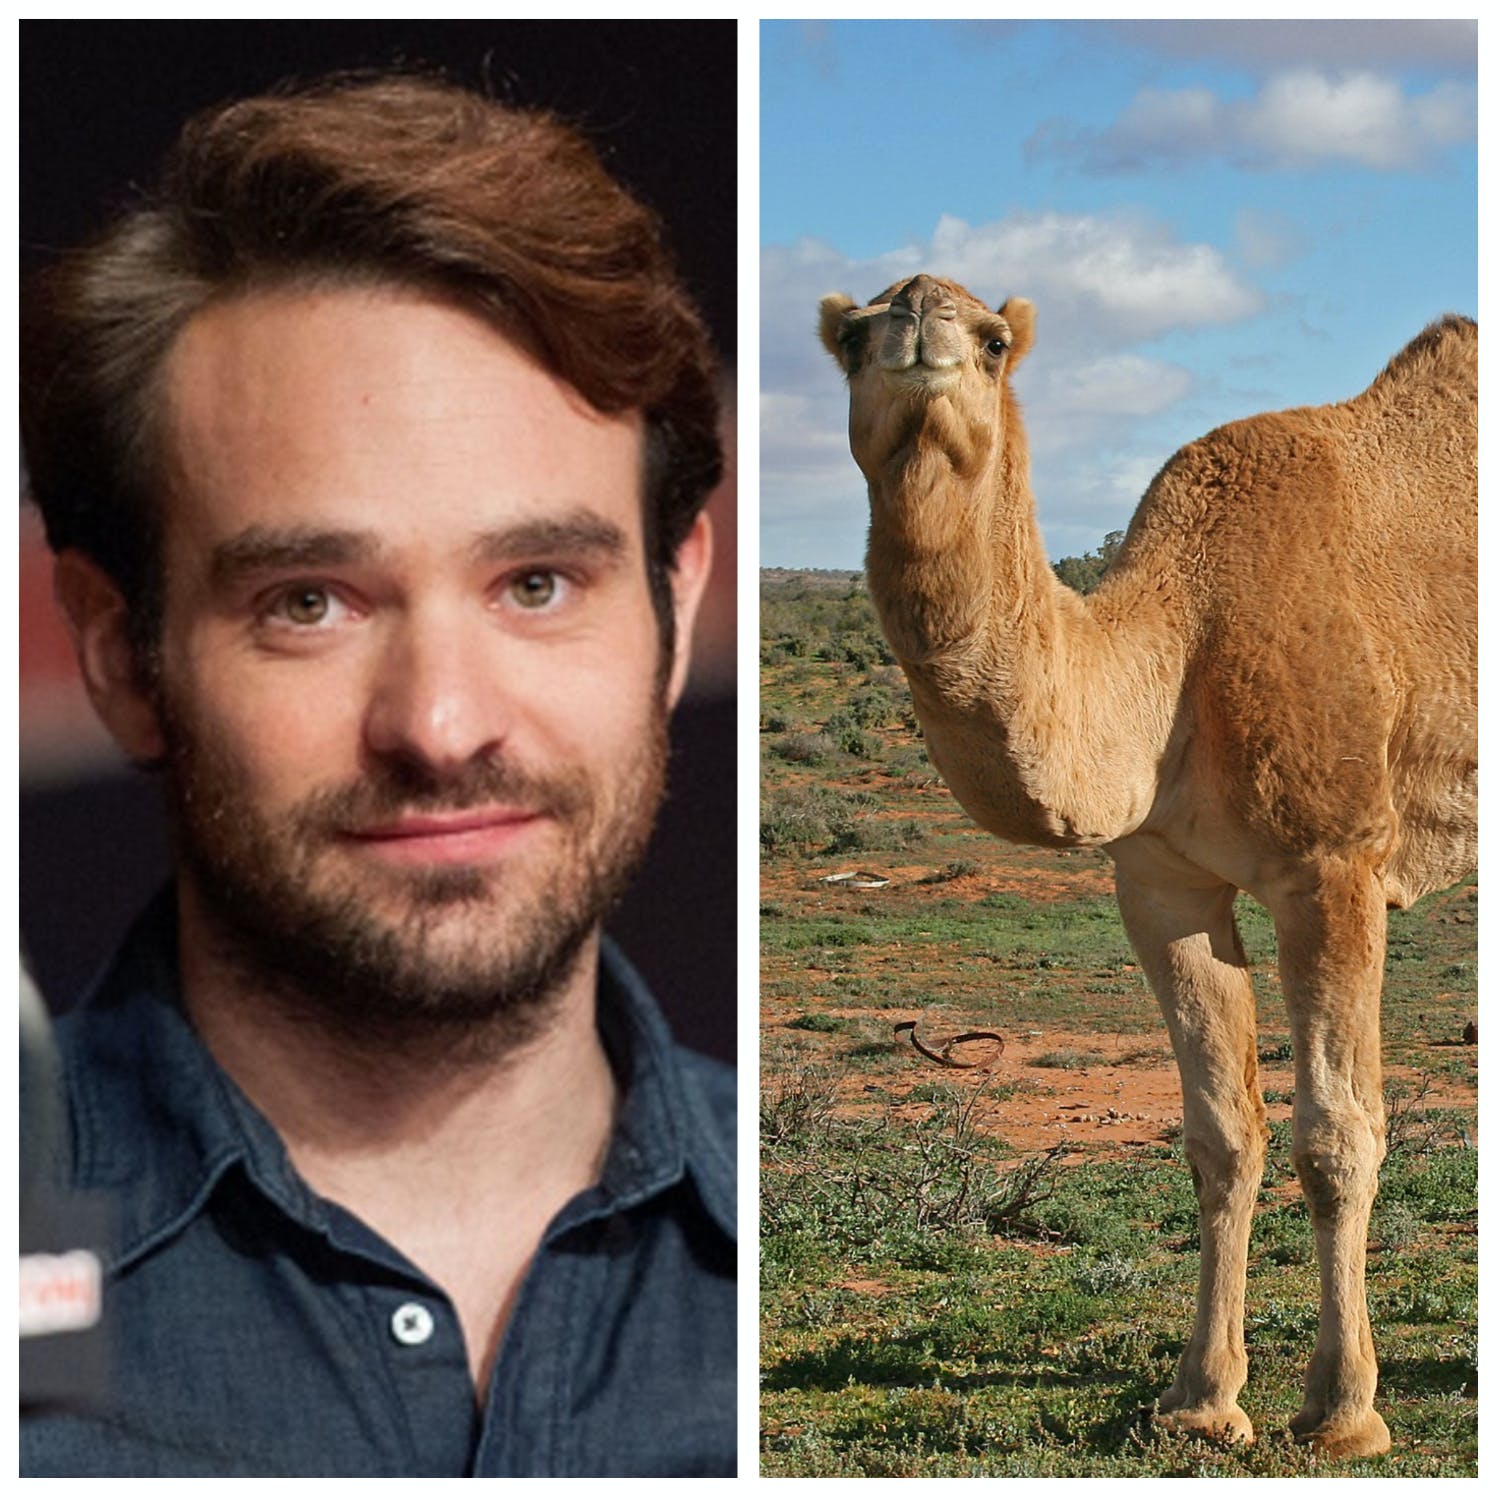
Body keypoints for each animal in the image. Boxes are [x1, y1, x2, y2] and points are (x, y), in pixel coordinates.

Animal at [818, 274, 1476, 1460]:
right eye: (853, 334)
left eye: (995, 340)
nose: (924, 328)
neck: (1180, 647)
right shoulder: (1161, 881)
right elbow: (1221, 1134)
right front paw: (1201, 1404)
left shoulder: (1335, 862)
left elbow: (1336, 1134)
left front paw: (1344, 1412)